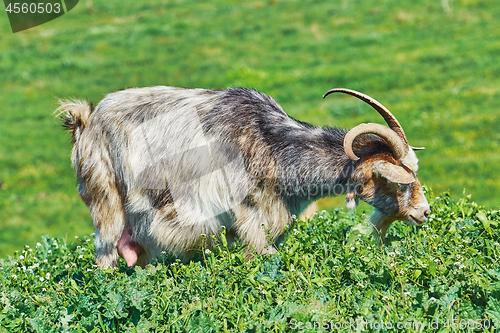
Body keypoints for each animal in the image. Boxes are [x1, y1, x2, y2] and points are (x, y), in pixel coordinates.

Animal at [55, 85, 430, 268]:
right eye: (402, 178)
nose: (424, 212)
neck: (272, 145)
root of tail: (85, 120)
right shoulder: (250, 218)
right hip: (105, 199)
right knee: (105, 256)